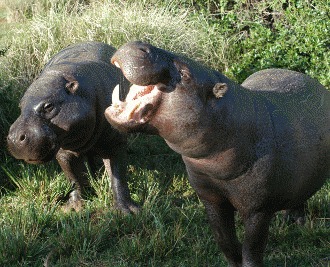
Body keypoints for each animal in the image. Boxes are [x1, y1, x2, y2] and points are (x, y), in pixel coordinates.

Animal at [6, 41, 138, 214]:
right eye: (20, 107)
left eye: (48, 106)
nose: (15, 137)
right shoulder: (64, 151)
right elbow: (74, 178)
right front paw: (73, 208)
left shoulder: (115, 143)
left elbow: (118, 177)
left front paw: (127, 212)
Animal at [105, 40, 330, 266]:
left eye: (186, 73)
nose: (139, 44)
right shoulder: (211, 199)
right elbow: (225, 242)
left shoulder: (257, 210)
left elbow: (252, 250)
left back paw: (296, 222)